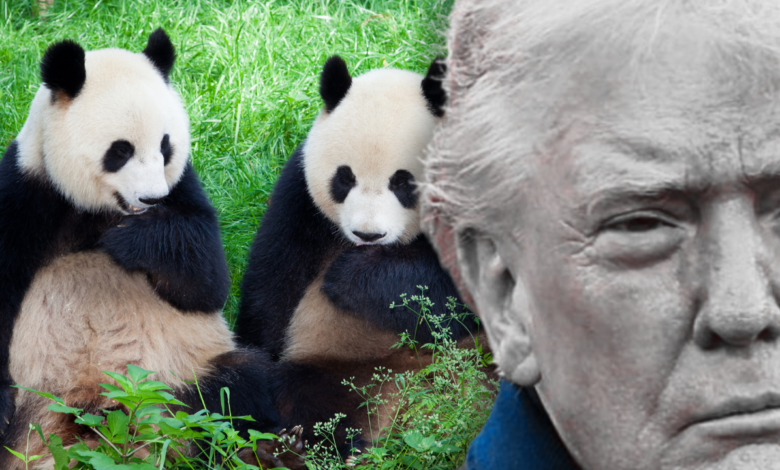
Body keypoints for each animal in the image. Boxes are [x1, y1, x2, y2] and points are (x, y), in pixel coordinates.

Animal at [0, 30, 303, 469]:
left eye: (165, 146)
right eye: (120, 150)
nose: (152, 198)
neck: (99, 211)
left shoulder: (183, 188)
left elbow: (206, 281)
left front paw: (134, 240)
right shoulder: (25, 190)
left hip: (182, 376)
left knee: (237, 388)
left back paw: (266, 450)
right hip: (36, 401)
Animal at [236, 56, 488, 454]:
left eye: (404, 182)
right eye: (345, 178)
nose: (369, 234)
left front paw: (352, 276)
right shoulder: (302, 197)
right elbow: (274, 282)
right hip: (339, 360)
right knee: (314, 398)